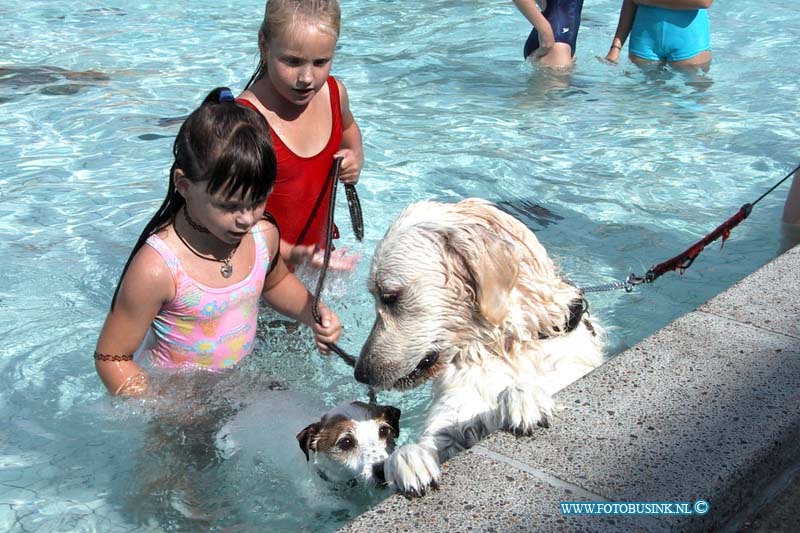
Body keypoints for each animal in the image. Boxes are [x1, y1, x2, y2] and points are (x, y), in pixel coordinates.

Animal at [354, 197, 604, 496]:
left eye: (389, 296)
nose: (359, 373)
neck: (501, 345)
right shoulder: (453, 414)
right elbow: (433, 438)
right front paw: (408, 456)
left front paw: (523, 396)